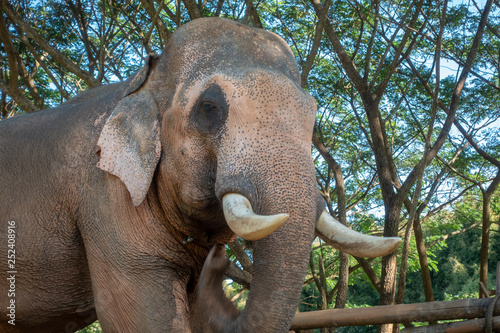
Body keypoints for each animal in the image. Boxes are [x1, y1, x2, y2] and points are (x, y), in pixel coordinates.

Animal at [0, 18, 398, 332]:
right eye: (209, 108)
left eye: (312, 115)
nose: (220, 263)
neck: (139, 82)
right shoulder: (105, 195)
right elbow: (145, 322)